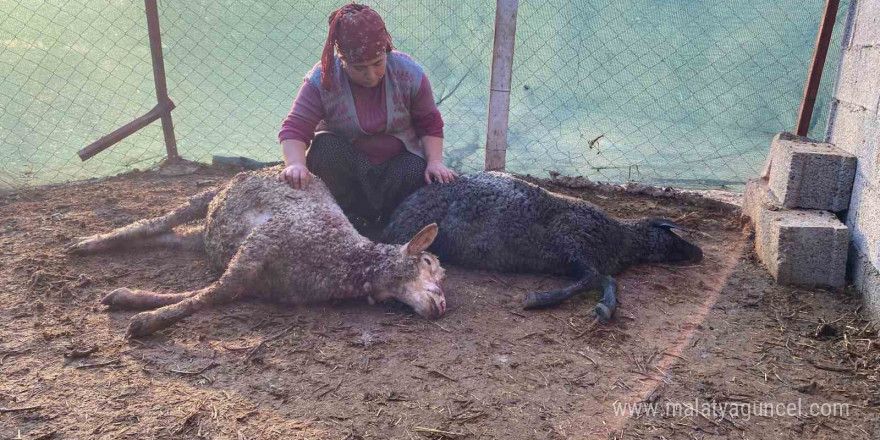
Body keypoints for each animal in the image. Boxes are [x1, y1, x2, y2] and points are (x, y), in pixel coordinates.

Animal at [382, 170, 704, 322]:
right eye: (674, 236)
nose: (699, 253)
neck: (621, 238)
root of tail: (394, 216)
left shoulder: (576, 258)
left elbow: (602, 279)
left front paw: (604, 308)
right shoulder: (575, 249)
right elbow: (599, 279)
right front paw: (537, 299)